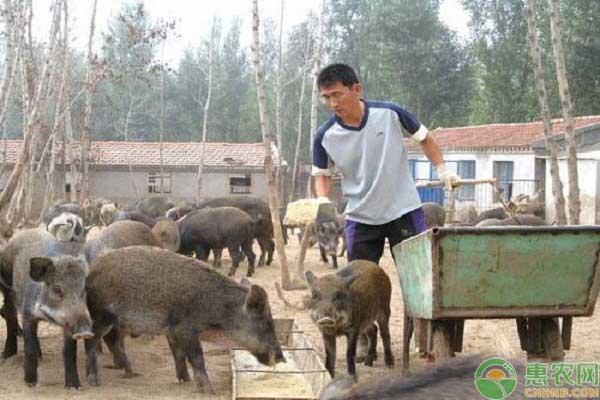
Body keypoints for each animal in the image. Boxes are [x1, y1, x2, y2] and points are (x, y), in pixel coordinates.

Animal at [84, 245, 286, 392]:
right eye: (267, 323)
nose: (281, 357)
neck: (219, 309)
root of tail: (91, 270)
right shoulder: (185, 328)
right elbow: (197, 357)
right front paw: (209, 391)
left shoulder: (172, 330)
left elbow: (179, 354)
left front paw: (185, 380)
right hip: (102, 316)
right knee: (92, 342)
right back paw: (94, 381)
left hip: (118, 323)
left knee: (111, 341)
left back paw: (130, 372)